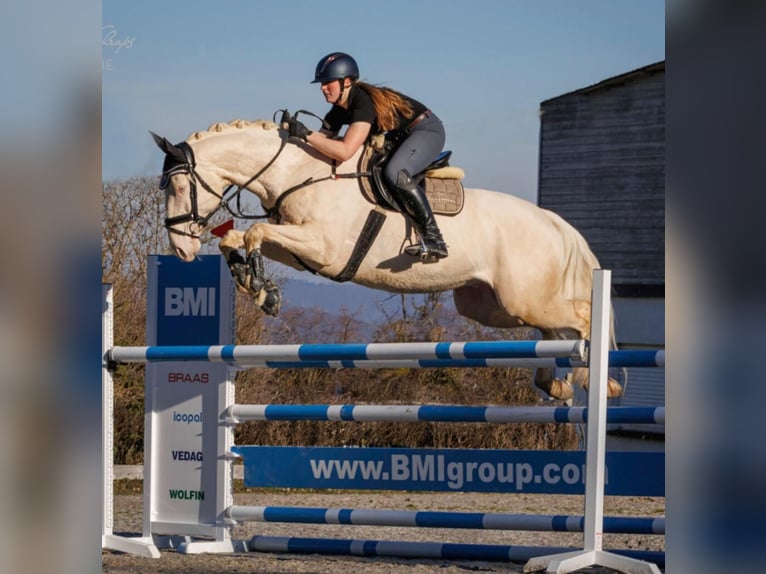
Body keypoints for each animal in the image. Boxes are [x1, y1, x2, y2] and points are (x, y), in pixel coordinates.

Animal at [150, 118, 622, 400]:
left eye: (178, 187)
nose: (181, 249)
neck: (298, 173)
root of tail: (553, 222)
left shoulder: (322, 247)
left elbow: (255, 232)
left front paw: (260, 287)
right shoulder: (304, 250)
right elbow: (240, 238)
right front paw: (256, 286)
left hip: (523, 297)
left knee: (583, 318)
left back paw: (603, 382)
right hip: (491, 305)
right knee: (554, 331)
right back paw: (557, 386)